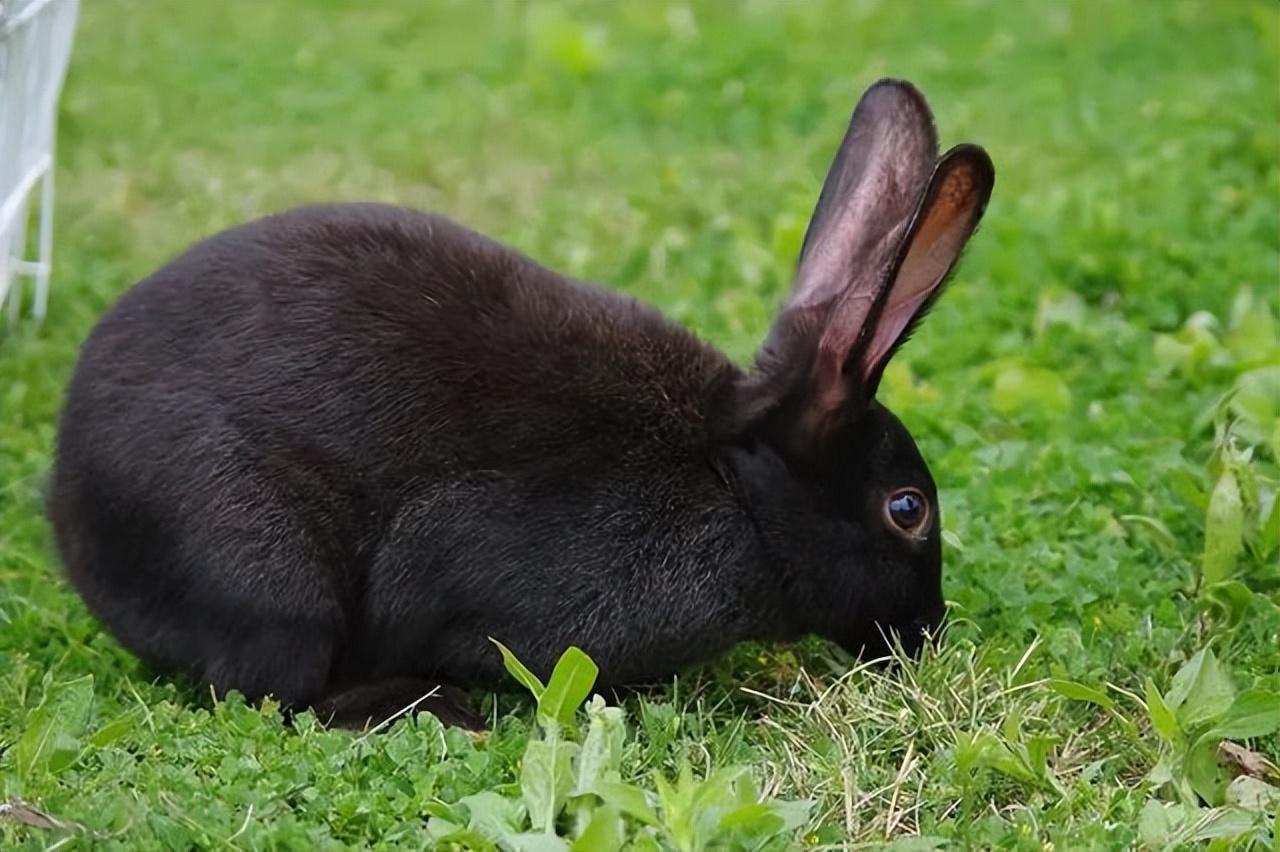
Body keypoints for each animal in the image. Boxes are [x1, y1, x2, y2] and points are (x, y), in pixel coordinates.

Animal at [47, 79, 988, 726]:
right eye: (908, 509)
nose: (925, 636)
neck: (736, 483)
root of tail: (68, 501)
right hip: (268, 575)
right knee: (283, 688)